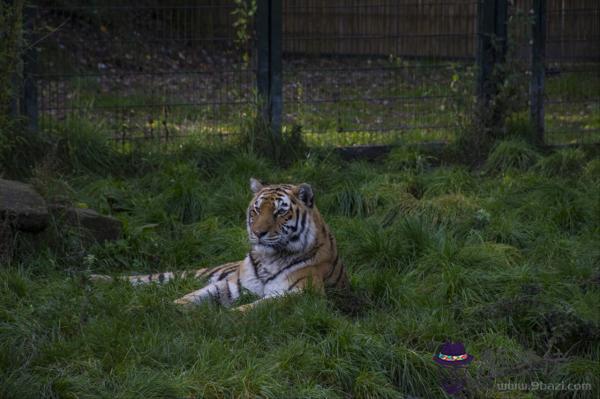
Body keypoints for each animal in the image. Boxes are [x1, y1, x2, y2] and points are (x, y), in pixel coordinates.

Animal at [91, 178, 350, 312]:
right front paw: (168, 306)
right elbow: (194, 296)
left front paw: (226, 317)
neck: (269, 259)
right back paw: (94, 279)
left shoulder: (302, 293)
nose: (258, 233)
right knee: (144, 279)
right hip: (188, 273)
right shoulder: (232, 284)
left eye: (279, 212)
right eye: (257, 210)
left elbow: (253, 308)